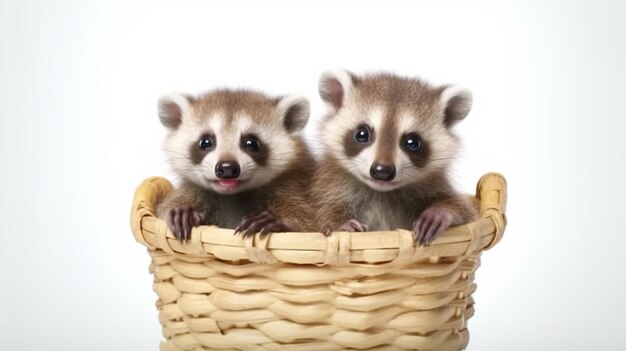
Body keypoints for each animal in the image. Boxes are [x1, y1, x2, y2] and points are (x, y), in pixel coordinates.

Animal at [154, 89, 314, 242]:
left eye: (252, 143)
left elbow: (305, 222)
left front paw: (282, 222)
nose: (227, 168)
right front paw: (183, 211)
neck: (233, 195)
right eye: (205, 142)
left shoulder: (292, 185)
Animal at [310, 71, 476, 248]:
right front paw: (341, 225)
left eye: (413, 142)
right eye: (362, 134)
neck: (382, 192)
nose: (382, 171)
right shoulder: (330, 190)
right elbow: (323, 214)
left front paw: (440, 211)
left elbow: (467, 211)